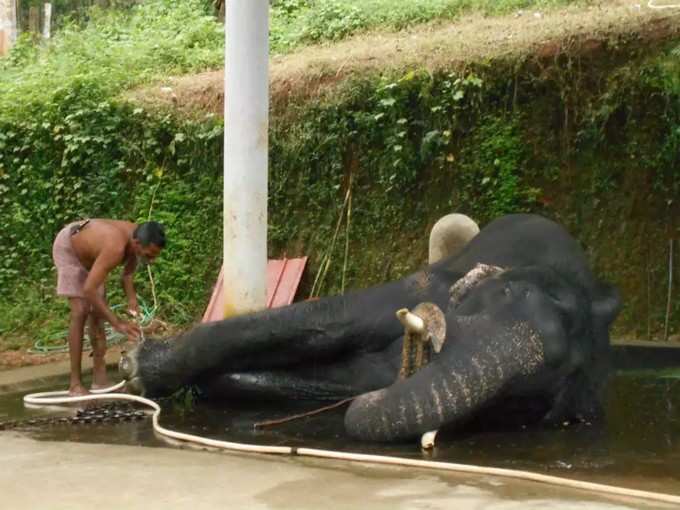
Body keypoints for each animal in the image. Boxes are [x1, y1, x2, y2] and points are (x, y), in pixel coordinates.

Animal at [119, 213, 620, 440]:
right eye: (506, 295)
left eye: (520, 399)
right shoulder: (431, 283)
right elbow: (334, 321)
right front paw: (138, 368)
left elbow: (350, 377)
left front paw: (217, 382)